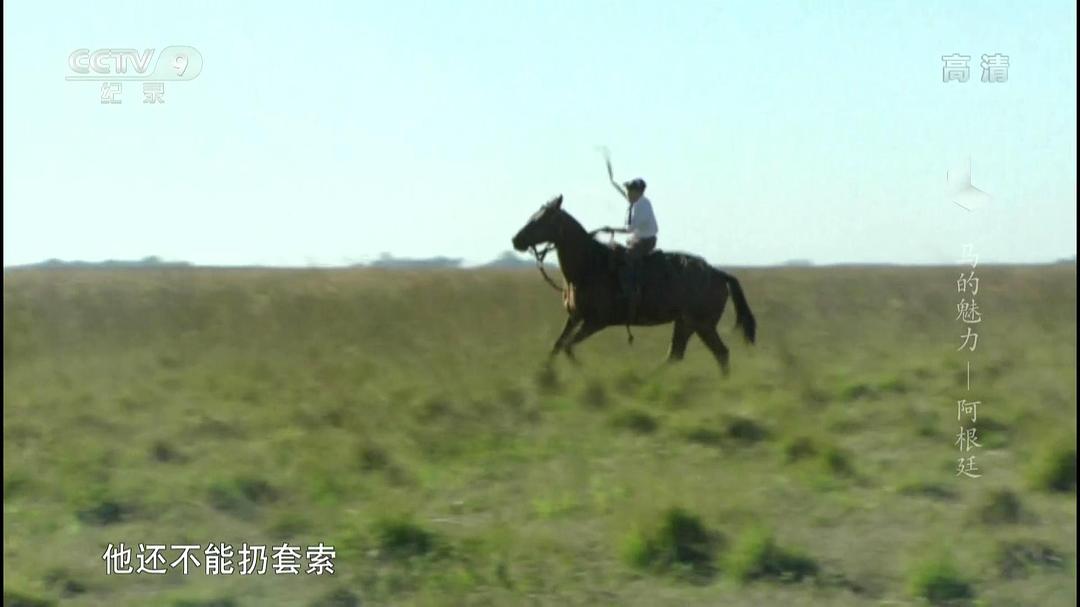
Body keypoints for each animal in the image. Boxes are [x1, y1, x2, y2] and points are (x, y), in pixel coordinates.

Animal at [511, 195, 756, 374]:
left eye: (542, 219)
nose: (516, 240)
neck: (589, 266)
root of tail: (719, 274)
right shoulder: (574, 317)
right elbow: (557, 346)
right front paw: (546, 377)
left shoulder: (595, 322)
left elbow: (568, 347)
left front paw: (582, 372)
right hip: (685, 323)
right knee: (678, 354)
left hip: (701, 324)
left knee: (720, 353)